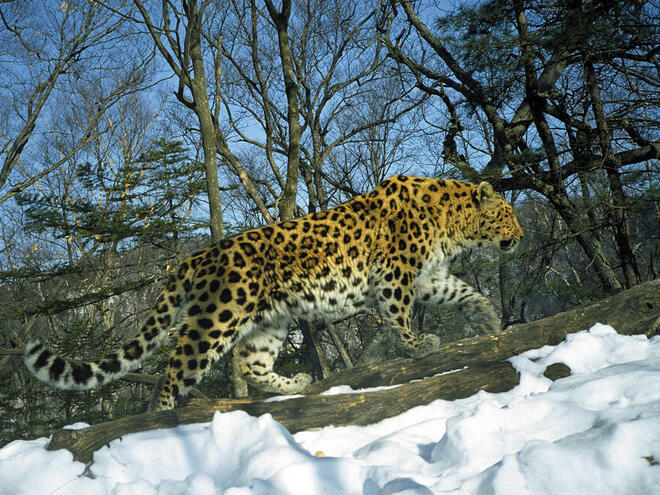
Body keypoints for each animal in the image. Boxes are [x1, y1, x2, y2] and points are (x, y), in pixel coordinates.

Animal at [23, 176, 524, 408]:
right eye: (508, 215)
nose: (519, 236)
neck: (453, 223)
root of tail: (196, 257)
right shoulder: (396, 275)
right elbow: (399, 317)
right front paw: (420, 346)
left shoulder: (427, 277)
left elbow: (462, 292)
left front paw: (487, 319)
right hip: (217, 317)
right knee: (175, 368)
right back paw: (157, 419)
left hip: (270, 321)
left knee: (252, 365)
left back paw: (296, 384)